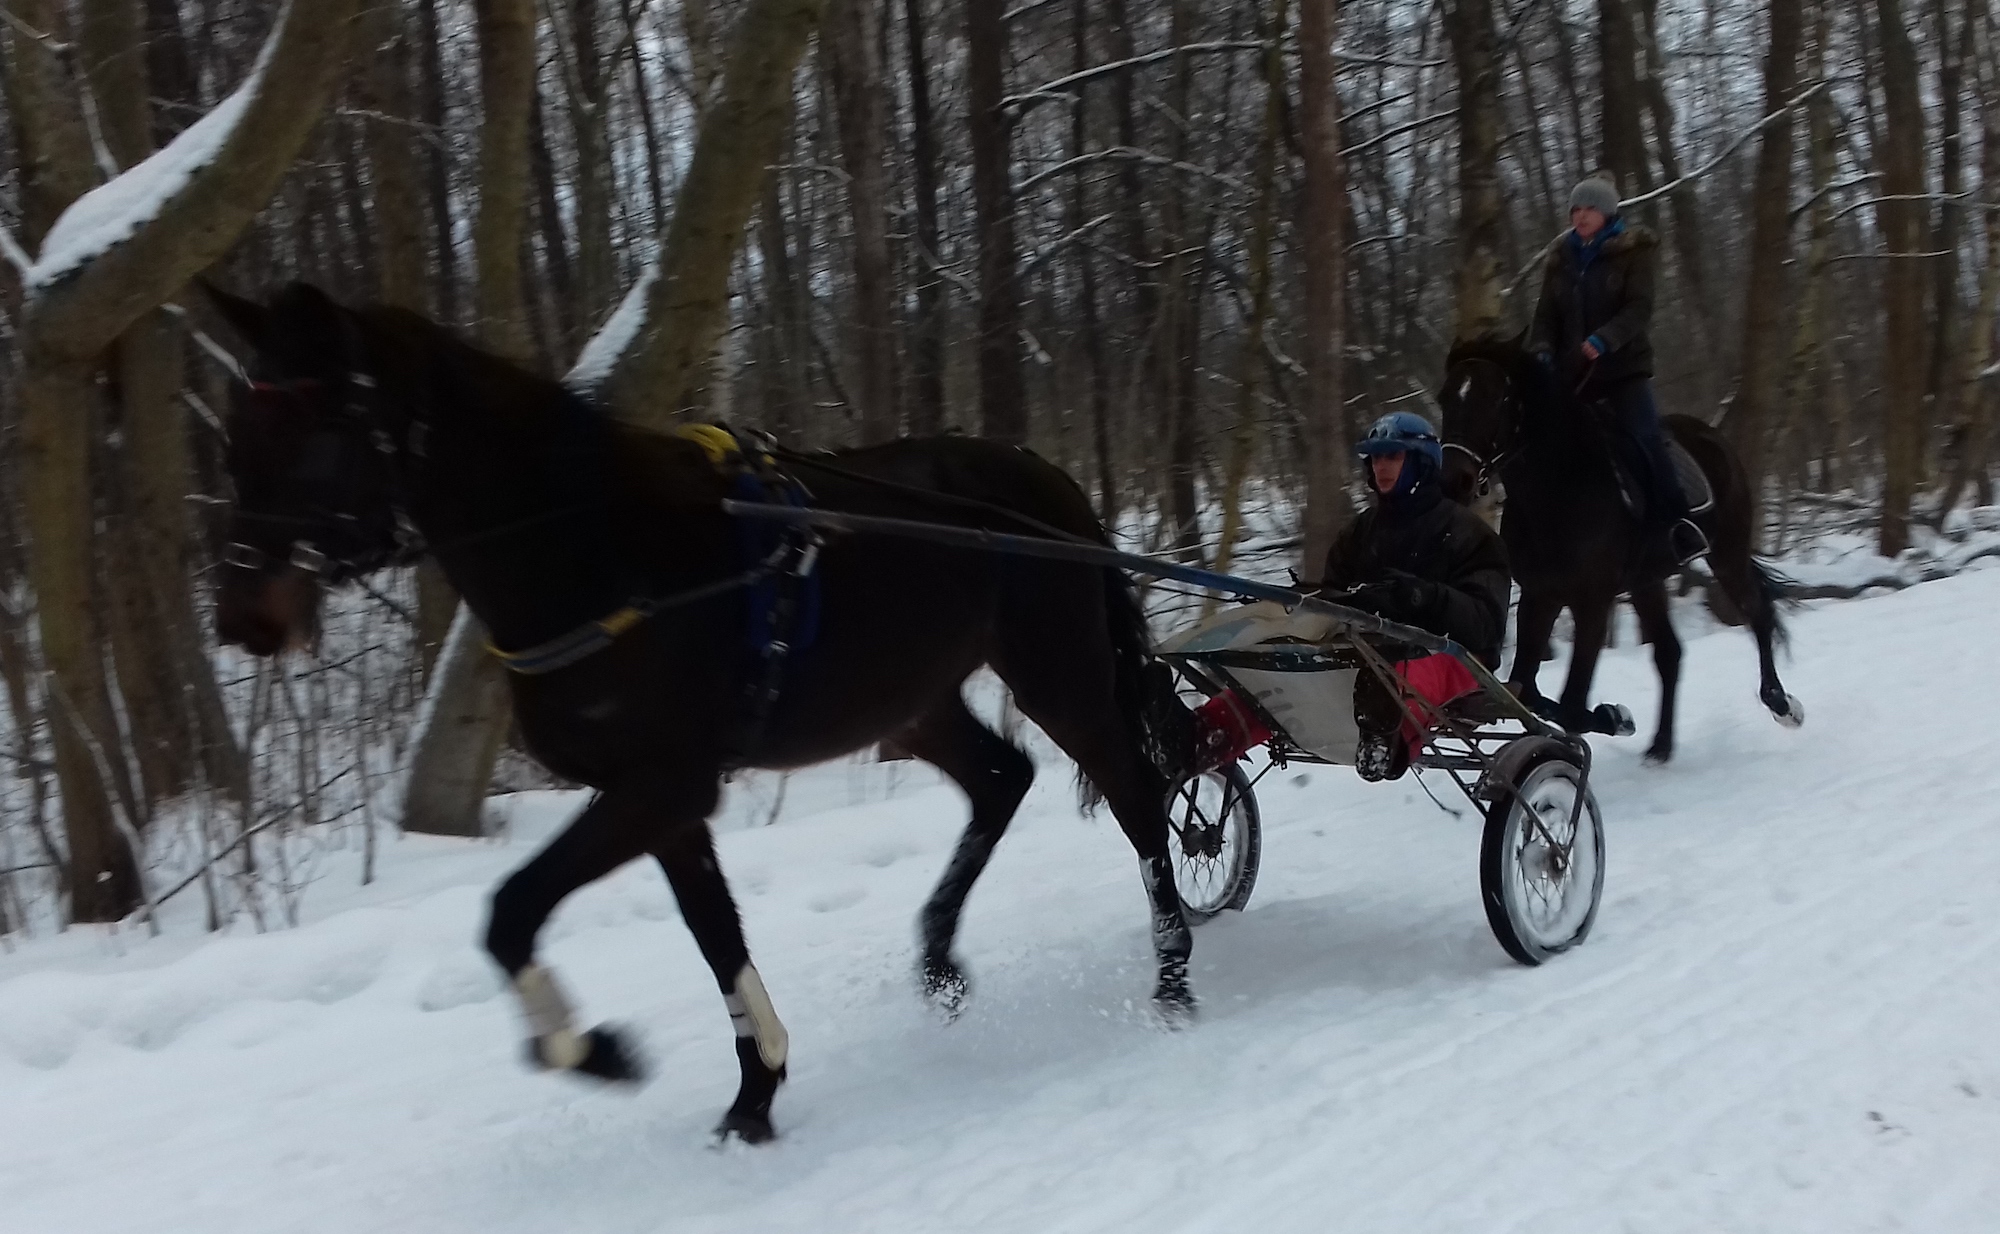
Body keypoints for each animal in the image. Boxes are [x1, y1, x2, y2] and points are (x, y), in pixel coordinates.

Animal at [209, 284, 1192, 1144]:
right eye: (236, 431)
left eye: (317, 429)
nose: (240, 615)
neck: (602, 550)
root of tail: (1046, 480)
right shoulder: (669, 807)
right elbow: (717, 940)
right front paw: (755, 1092)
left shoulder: (661, 787)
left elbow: (512, 910)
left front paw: (594, 1050)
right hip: (910, 705)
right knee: (1002, 777)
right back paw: (940, 960)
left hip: (1058, 680)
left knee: (1136, 798)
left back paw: (1174, 978)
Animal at [1440, 334, 1800, 760]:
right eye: (1445, 397)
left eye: (1496, 398)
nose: (1454, 480)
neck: (1560, 488)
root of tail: (1713, 438)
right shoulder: (1540, 596)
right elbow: (1526, 689)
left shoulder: (1592, 602)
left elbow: (1571, 704)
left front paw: (1613, 717)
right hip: (1647, 582)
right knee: (1669, 653)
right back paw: (1660, 747)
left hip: (1726, 554)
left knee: (1757, 612)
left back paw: (1781, 704)